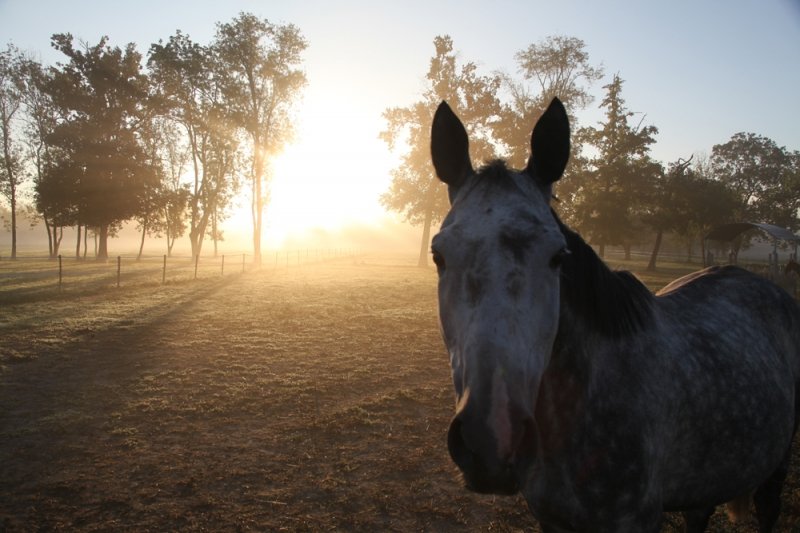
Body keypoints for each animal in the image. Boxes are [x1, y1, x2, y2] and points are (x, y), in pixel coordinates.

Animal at [430, 98, 800, 532]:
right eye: (438, 256)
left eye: (558, 257)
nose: (492, 441)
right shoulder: (551, 518)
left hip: (777, 462)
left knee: (768, 507)